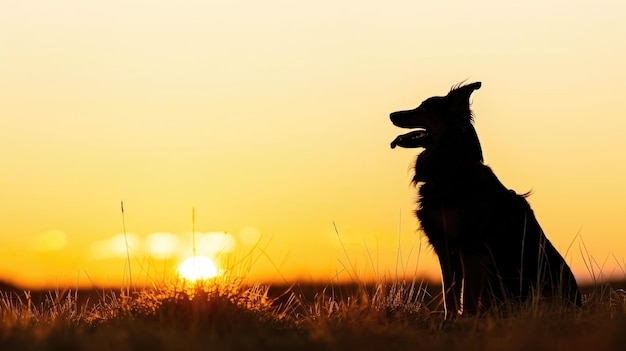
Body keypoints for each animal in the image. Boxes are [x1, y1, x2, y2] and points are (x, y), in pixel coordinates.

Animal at [390, 82, 580, 320]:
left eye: (424, 108)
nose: (391, 115)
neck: (453, 170)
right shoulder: (445, 247)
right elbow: (449, 292)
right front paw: (449, 320)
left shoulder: (470, 247)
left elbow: (469, 294)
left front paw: (466, 320)